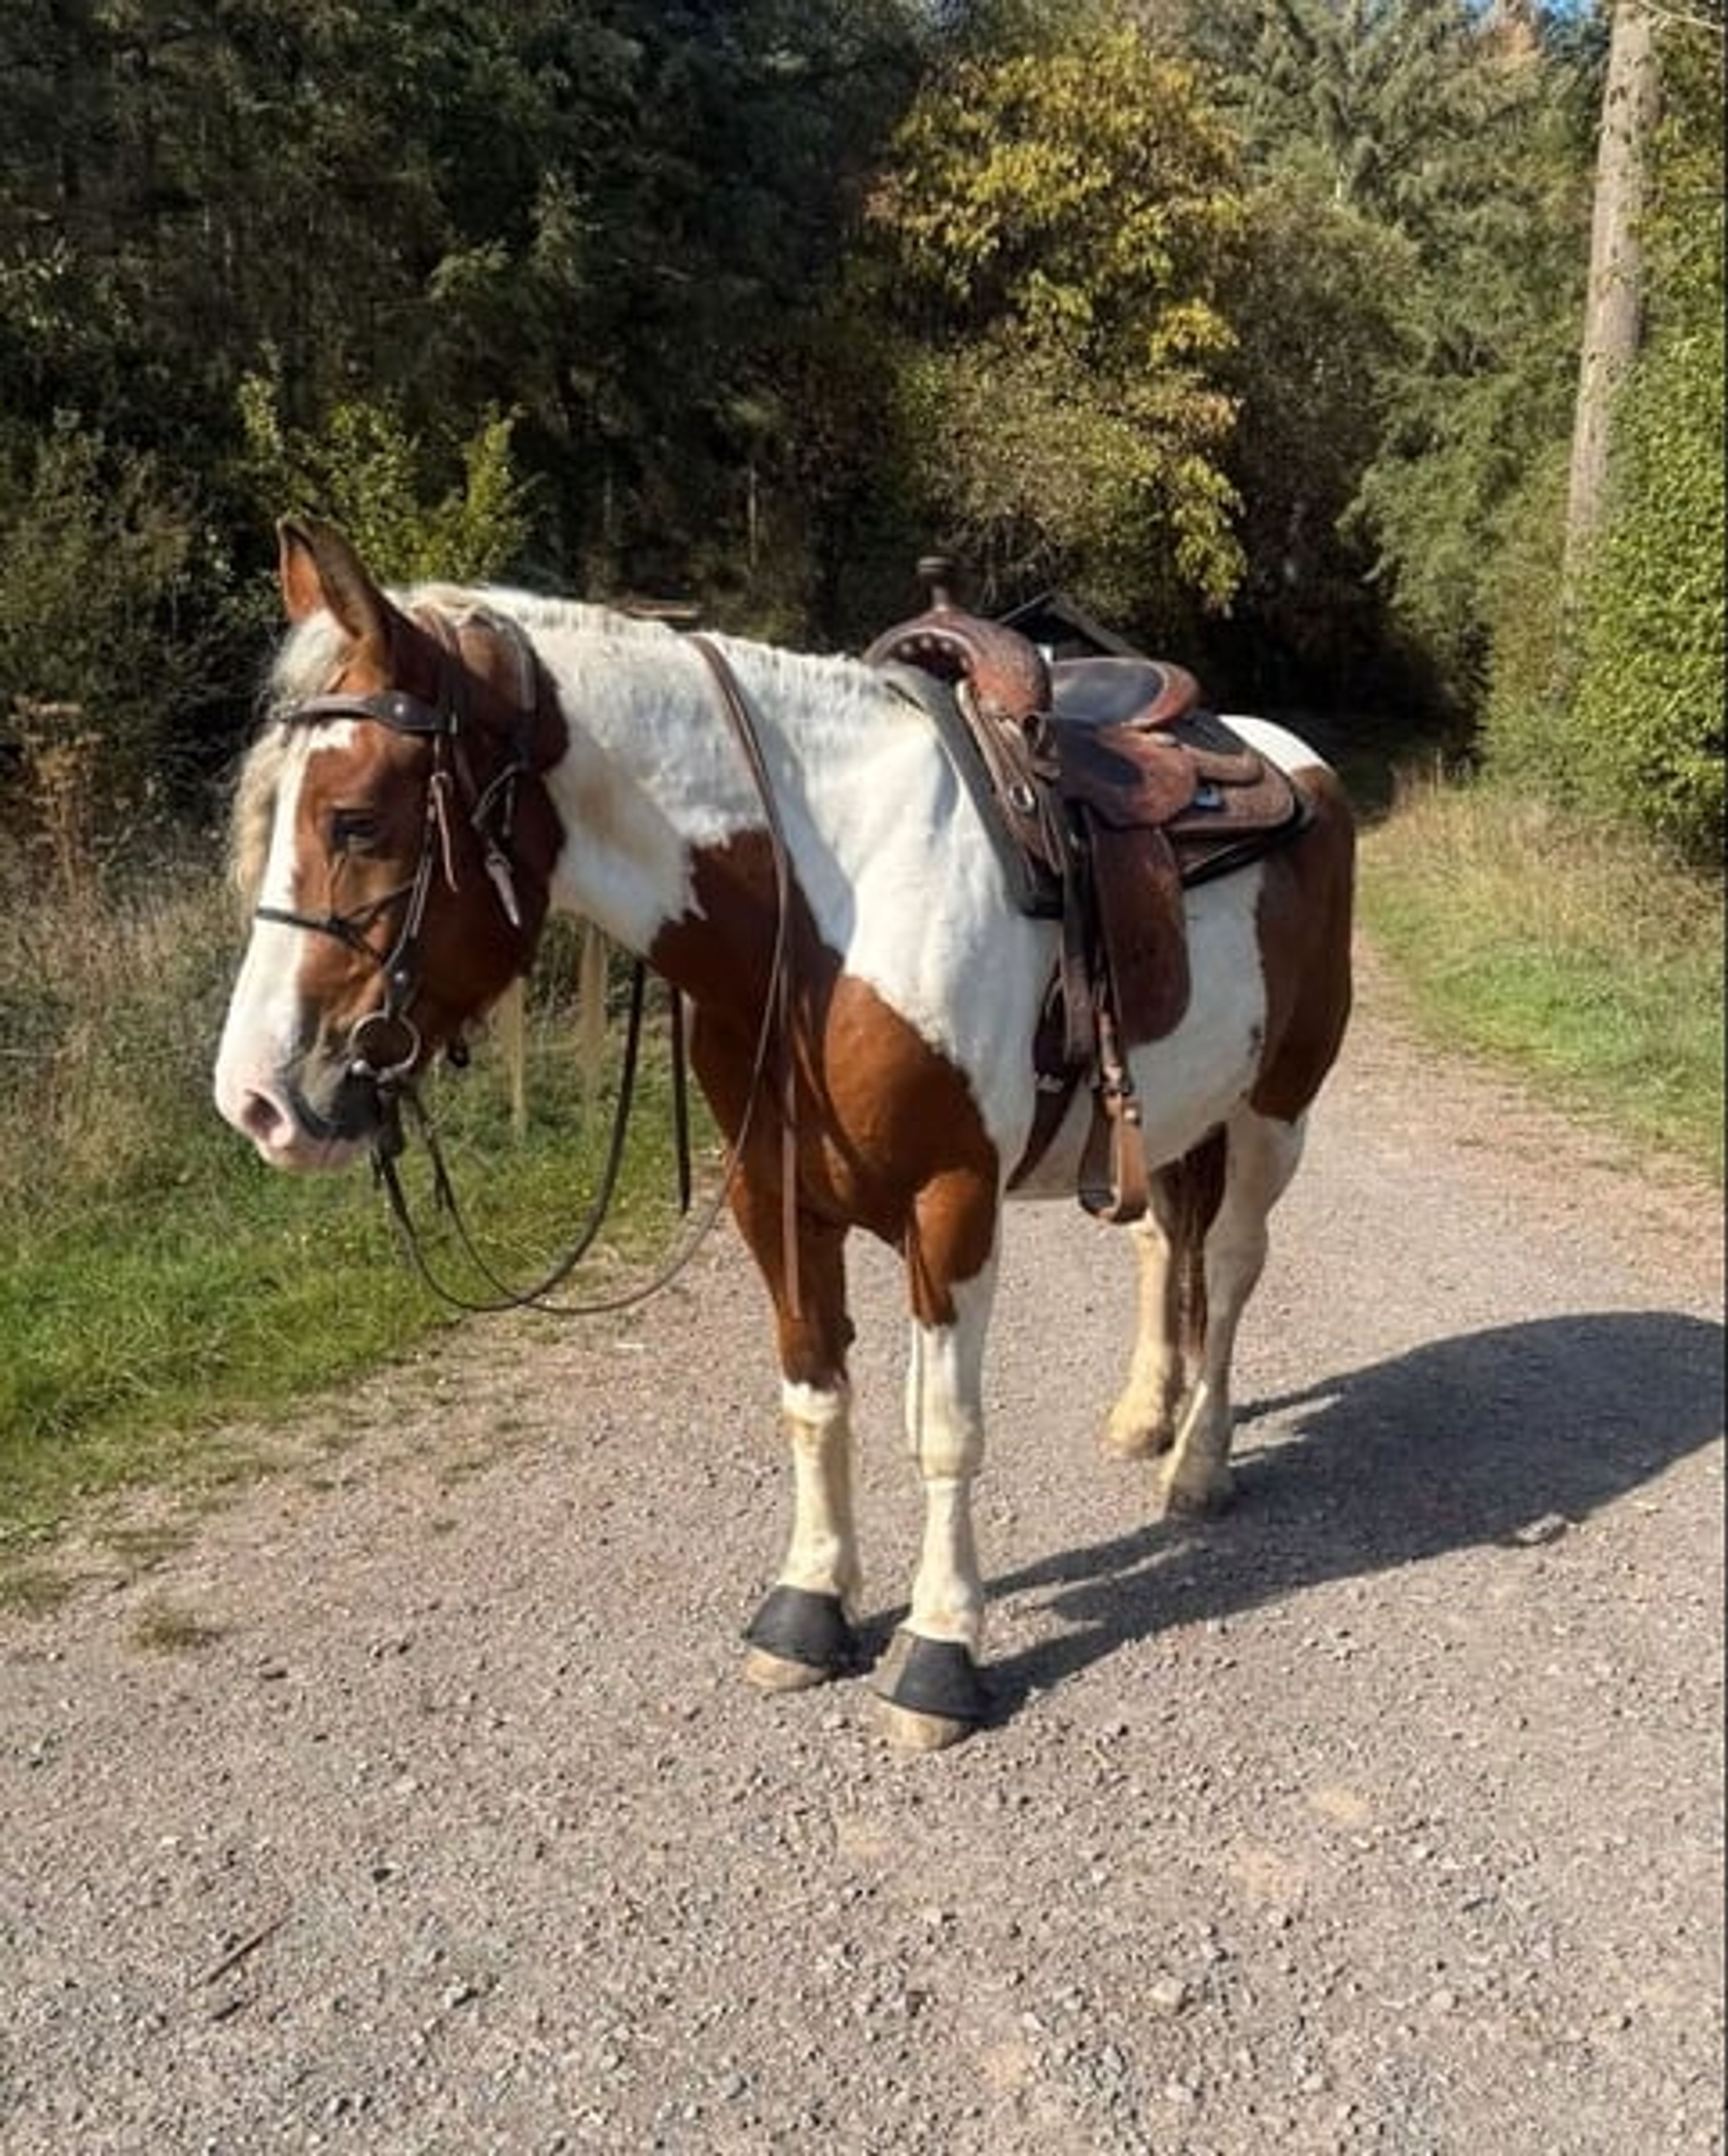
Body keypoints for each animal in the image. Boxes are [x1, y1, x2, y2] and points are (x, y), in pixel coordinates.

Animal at [214, 517, 1354, 1750]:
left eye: (357, 820)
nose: (256, 1098)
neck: (829, 905)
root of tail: (1278, 752)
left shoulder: (952, 1201)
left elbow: (944, 1428)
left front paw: (939, 1657)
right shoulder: (776, 1194)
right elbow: (814, 1394)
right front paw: (808, 1611)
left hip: (1275, 1112)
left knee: (1229, 1268)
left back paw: (1197, 1463)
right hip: (1170, 1117)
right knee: (1163, 1244)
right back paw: (1148, 1413)